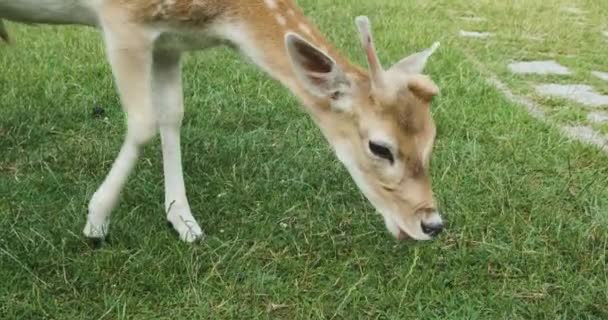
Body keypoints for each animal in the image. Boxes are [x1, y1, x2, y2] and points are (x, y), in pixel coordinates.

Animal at [1, 0, 446, 244]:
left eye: (432, 138)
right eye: (380, 147)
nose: (433, 223)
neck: (221, 16)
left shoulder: (169, 40)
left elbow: (171, 114)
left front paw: (183, 220)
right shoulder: (122, 21)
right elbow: (142, 122)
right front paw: (96, 222)